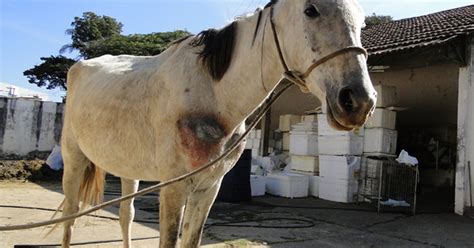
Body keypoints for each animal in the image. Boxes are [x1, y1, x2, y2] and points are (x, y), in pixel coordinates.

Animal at [61, 0, 376, 246]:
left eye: (361, 21)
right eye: (310, 10)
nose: (359, 101)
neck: (213, 95)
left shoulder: (208, 188)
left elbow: (190, 239)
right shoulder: (173, 189)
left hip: (129, 169)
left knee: (126, 216)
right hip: (74, 160)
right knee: (70, 218)